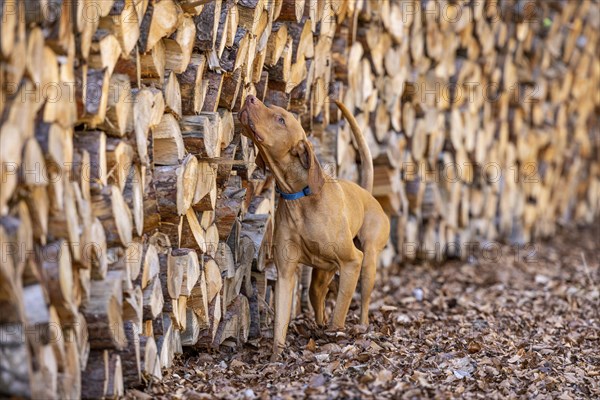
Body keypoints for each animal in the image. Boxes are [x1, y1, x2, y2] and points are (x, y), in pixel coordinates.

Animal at [238, 95, 390, 358]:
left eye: (280, 119)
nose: (250, 97)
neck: (300, 197)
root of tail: (367, 193)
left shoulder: (352, 261)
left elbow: (340, 310)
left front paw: (336, 337)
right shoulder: (285, 273)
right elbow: (280, 322)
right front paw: (276, 357)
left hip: (368, 261)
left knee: (363, 301)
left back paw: (361, 328)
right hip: (323, 272)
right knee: (316, 294)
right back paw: (319, 325)